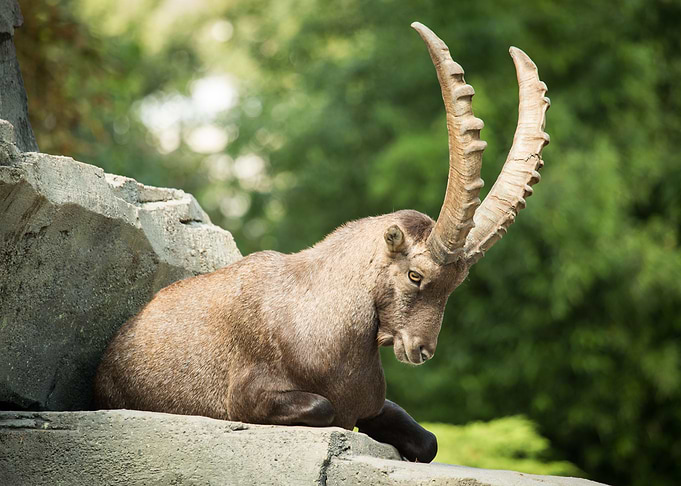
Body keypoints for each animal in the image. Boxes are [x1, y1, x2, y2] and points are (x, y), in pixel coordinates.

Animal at [94, 23, 550, 463]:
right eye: (416, 275)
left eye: (456, 285)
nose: (421, 349)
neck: (322, 316)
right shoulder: (245, 396)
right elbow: (324, 408)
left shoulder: (371, 403)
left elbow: (428, 441)